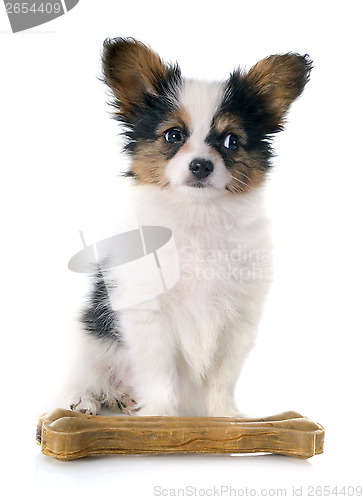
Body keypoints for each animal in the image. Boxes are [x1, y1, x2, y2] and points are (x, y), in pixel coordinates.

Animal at [64, 38, 312, 414]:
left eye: (231, 141)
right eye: (173, 135)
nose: (201, 166)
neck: (198, 215)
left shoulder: (238, 319)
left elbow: (223, 376)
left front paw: (226, 417)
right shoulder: (149, 315)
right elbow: (160, 374)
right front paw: (161, 417)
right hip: (91, 341)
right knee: (85, 374)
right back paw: (85, 399)